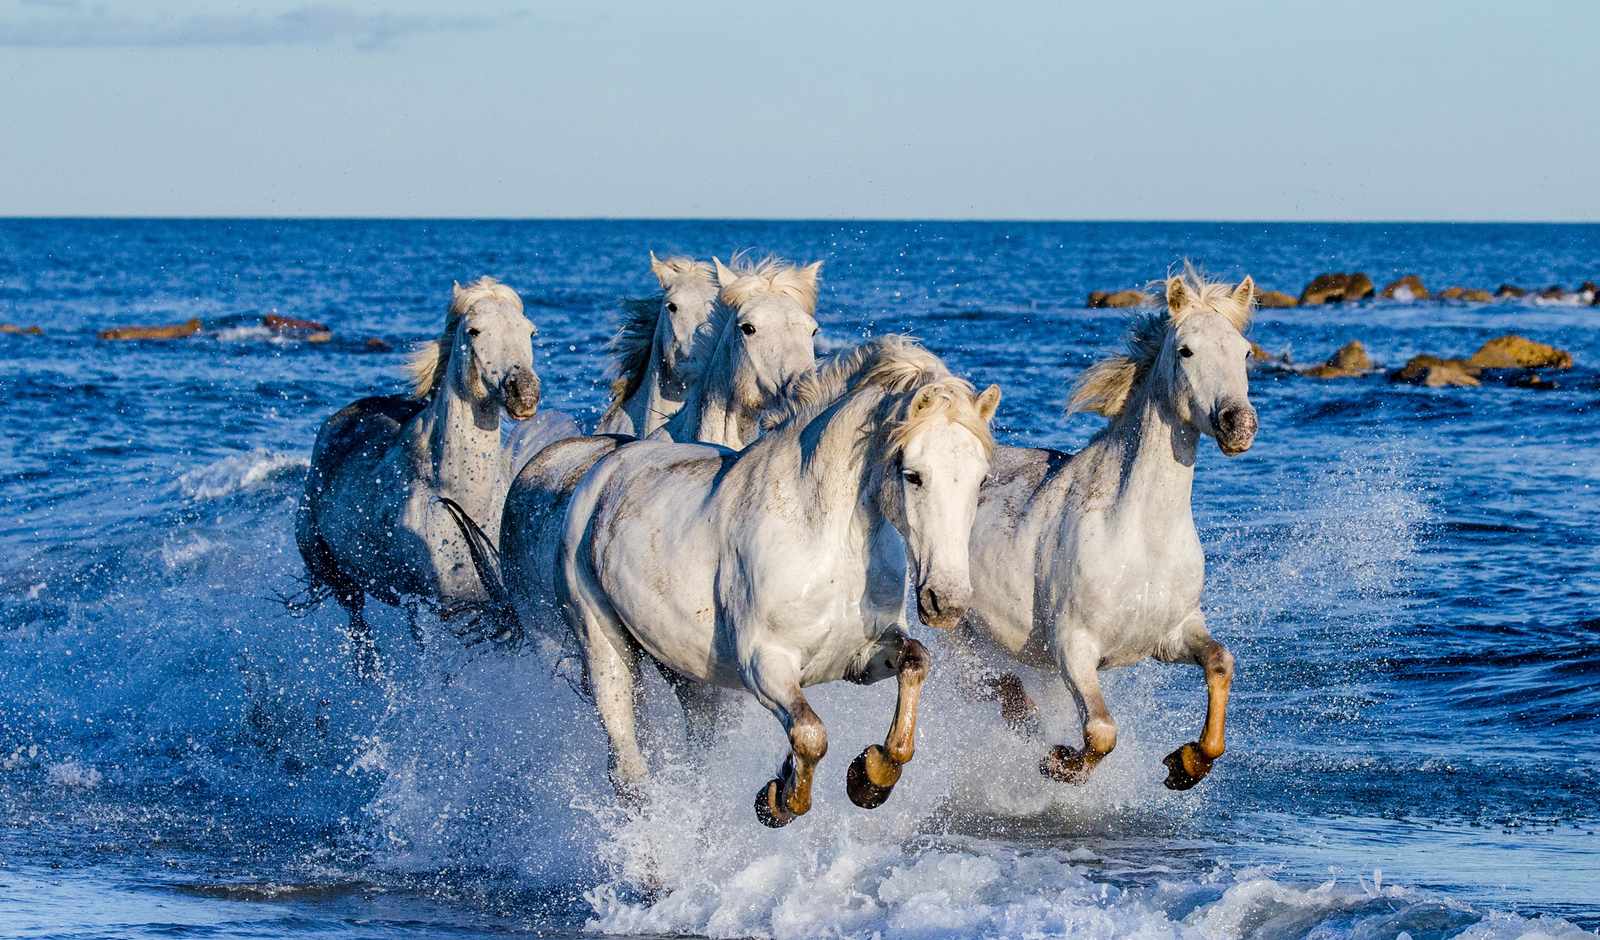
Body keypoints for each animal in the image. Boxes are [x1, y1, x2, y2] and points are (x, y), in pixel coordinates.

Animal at [295, 277, 540, 677]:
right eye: (473, 331)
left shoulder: (488, 601)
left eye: (530, 331)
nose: (524, 393)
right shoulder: (424, 605)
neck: (456, 495)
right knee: (358, 626)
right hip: (339, 575)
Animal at [555, 336, 1001, 827]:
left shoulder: (862, 658)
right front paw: (779, 799)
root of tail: (601, 473)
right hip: (605, 652)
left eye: (981, 479)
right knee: (628, 771)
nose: (947, 601)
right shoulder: (766, 664)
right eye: (913, 474)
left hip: (690, 676)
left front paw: (872, 776)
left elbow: (916, 662)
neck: (829, 541)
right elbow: (810, 734)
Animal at [958, 268, 1257, 790]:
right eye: (1186, 350)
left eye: (1244, 352)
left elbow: (1221, 663)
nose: (1238, 424)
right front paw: (1058, 762)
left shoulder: (1173, 633)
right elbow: (1101, 731)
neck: (1141, 536)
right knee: (989, 687)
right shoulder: (1073, 649)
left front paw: (1187, 763)